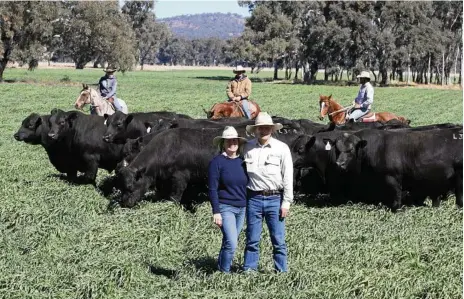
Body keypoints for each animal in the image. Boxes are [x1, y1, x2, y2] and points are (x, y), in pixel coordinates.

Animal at [328, 128, 462, 211]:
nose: (339, 163)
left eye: (350, 150)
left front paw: (397, 209)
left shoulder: (392, 177)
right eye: (337, 149)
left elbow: (396, 194)